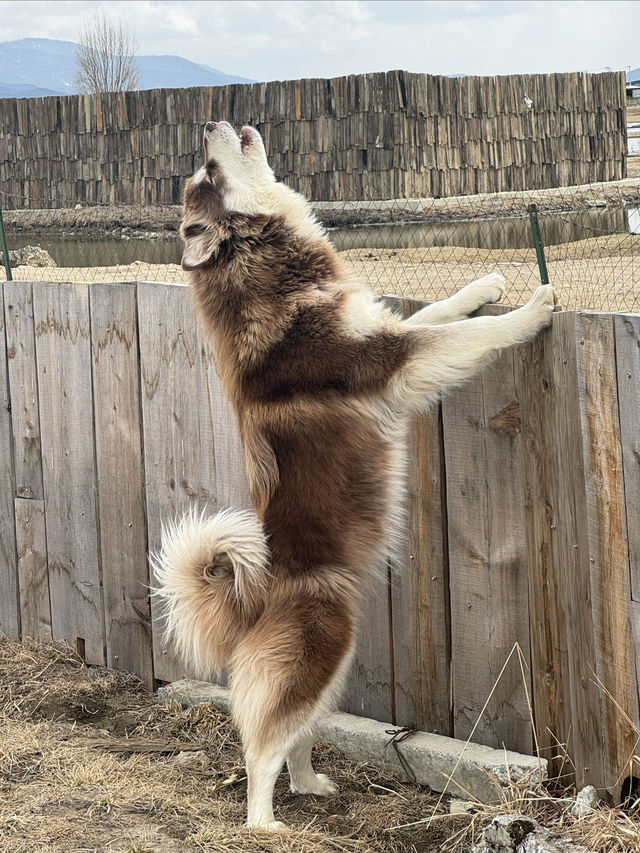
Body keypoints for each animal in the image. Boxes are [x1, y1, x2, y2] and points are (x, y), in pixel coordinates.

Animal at [154, 120, 556, 824]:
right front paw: (532, 308)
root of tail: (250, 597)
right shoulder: (396, 362)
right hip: (319, 650)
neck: (270, 272)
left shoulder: (386, 334)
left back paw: (310, 785)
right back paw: (265, 823)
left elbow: (442, 311)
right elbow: (468, 337)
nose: (210, 124)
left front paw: (485, 286)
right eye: (209, 170)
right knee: (261, 747)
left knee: (295, 738)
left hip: (334, 665)